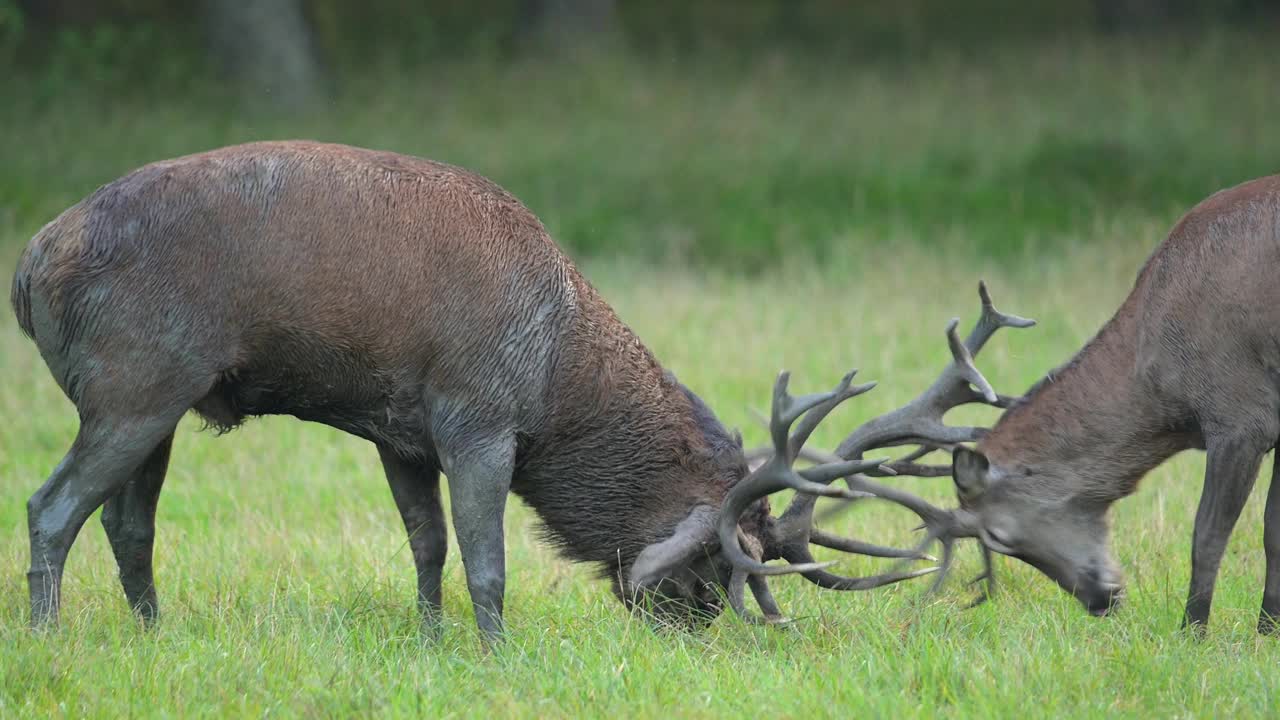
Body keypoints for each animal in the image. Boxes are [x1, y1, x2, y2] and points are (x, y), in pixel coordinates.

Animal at [7, 140, 1018, 638]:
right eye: (717, 560)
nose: (693, 635)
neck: (556, 372)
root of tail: (28, 270)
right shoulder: (478, 418)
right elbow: (485, 559)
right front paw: (494, 651)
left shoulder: (398, 432)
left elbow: (425, 548)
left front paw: (431, 641)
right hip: (132, 385)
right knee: (51, 506)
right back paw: (50, 637)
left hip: (167, 403)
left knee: (127, 523)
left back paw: (151, 632)